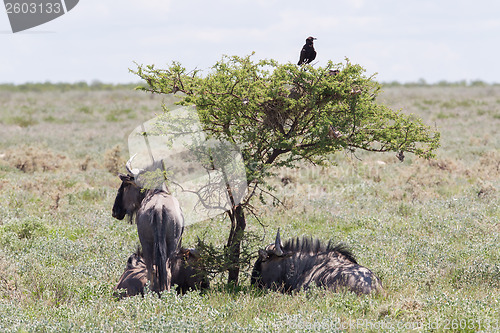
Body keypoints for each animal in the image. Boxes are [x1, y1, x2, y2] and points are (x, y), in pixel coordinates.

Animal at [112, 156, 185, 294]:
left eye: (124, 186)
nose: (115, 211)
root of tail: (158, 208)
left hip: (149, 244)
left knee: (155, 270)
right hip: (164, 245)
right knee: (161, 270)